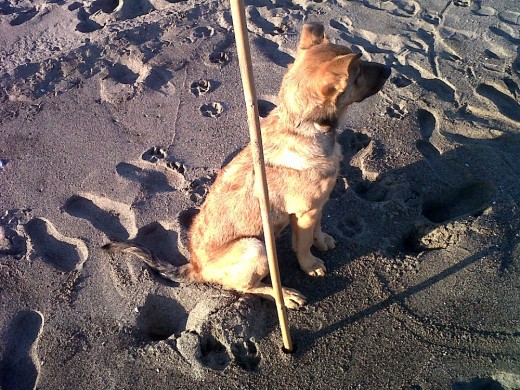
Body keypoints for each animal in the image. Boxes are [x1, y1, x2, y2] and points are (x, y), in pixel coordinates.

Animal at [103, 22, 390, 310]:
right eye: (359, 71)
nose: (389, 69)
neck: (301, 127)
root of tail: (195, 267)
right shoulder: (303, 212)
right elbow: (302, 243)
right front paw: (310, 265)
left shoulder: (316, 205)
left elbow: (318, 227)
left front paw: (322, 241)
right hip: (255, 248)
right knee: (249, 288)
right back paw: (286, 295)